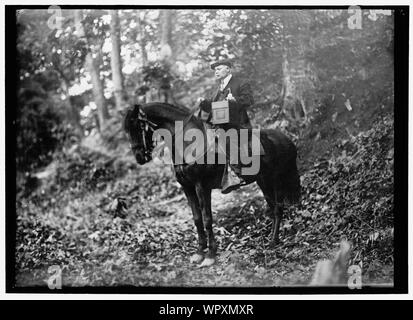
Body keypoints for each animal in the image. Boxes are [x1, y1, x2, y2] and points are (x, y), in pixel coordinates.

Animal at [123, 102, 300, 264]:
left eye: (137, 127)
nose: (139, 157)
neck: (188, 145)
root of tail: (286, 139)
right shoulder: (187, 188)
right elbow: (197, 219)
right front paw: (199, 251)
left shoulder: (202, 186)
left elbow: (207, 219)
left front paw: (210, 254)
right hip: (263, 181)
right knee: (273, 207)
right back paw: (272, 238)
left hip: (275, 180)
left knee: (278, 208)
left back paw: (273, 241)